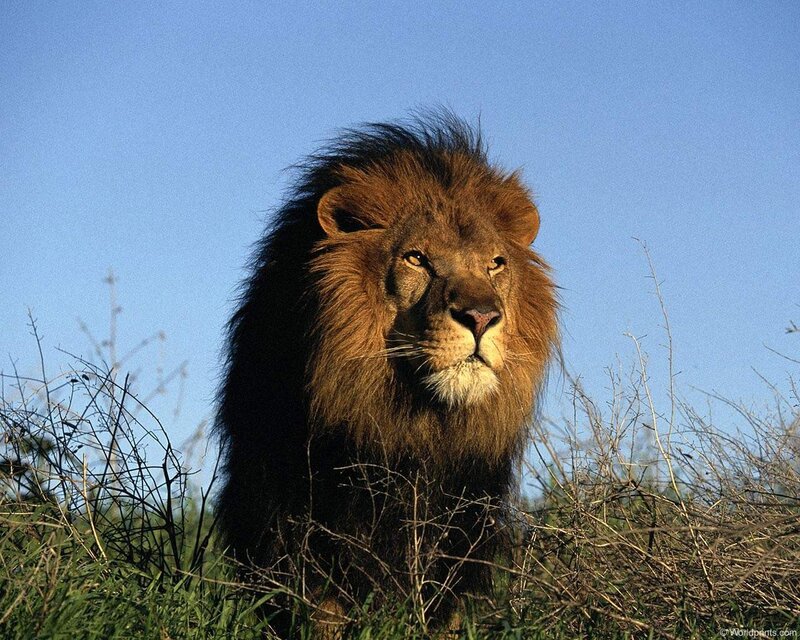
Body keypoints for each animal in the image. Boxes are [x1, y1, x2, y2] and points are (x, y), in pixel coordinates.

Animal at [215, 112, 558, 636]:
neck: (412, 422)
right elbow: (322, 608)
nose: (482, 317)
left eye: (495, 264)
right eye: (417, 258)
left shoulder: (463, 521)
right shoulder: (308, 518)